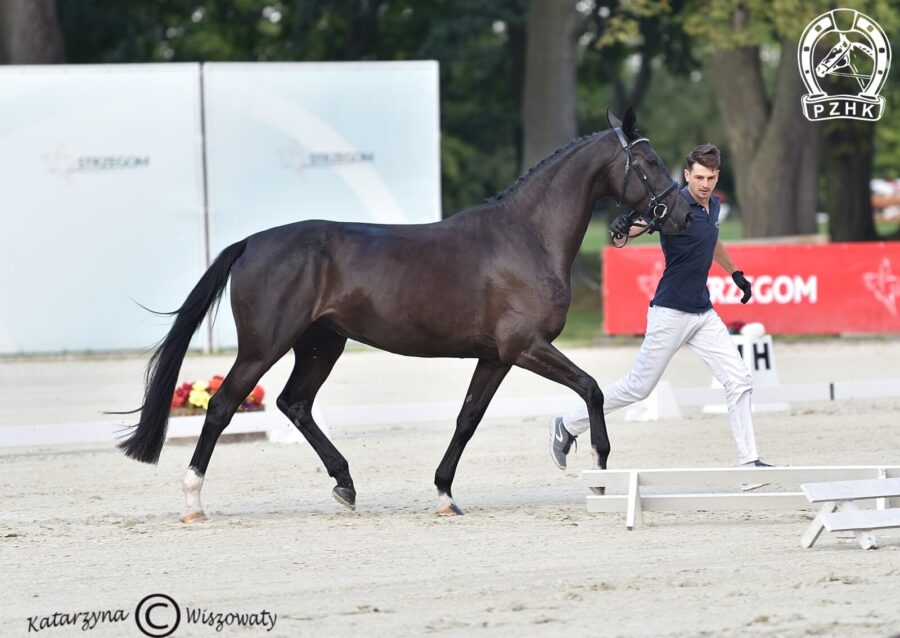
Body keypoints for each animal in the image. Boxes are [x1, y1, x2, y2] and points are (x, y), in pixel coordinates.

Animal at [119, 107, 688, 524]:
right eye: (649, 161)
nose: (683, 213)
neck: (527, 236)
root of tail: (252, 242)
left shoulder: (496, 357)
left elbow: (467, 419)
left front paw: (445, 494)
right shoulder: (525, 347)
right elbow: (591, 388)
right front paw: (598, 467)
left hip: (321, 345)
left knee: (294, 403)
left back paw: (345, 486)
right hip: (265, 347)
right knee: (223, 406)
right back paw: (193, 500)